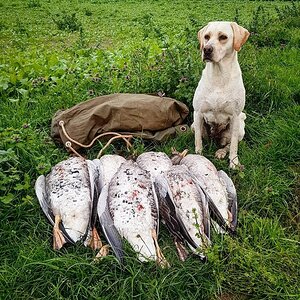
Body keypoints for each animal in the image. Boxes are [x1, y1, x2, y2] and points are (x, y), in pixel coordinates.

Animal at [193, 21, 250, 169]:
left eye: (223, 37)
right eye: (206, 36)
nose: (206, 49)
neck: (219, 76)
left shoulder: (235, 116)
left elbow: (234, 145)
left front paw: (234, 162)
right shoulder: (198, 113)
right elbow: (198, 140)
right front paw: (198, 156)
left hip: (240, 127)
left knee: (228, 145)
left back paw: (221, 152)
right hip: (193, 125)